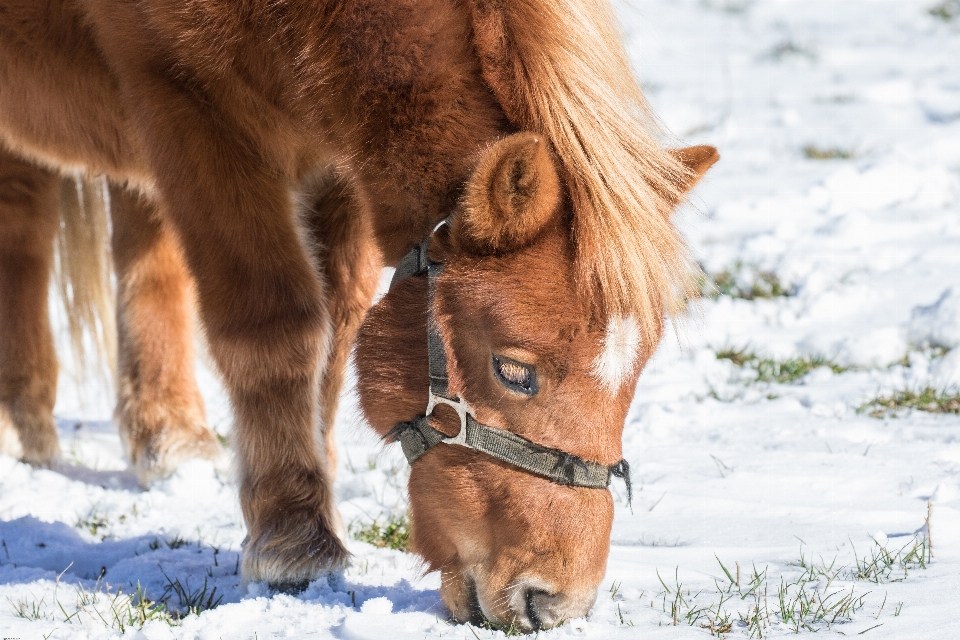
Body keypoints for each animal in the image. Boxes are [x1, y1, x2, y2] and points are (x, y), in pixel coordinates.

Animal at [0, 0, 712, 632]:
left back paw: (167, 437)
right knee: (26, 228)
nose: (556, 604)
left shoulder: (340, 158)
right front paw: (293, 540)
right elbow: (276, 325)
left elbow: (337, 329)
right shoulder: (187, 106)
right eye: (513, 371)